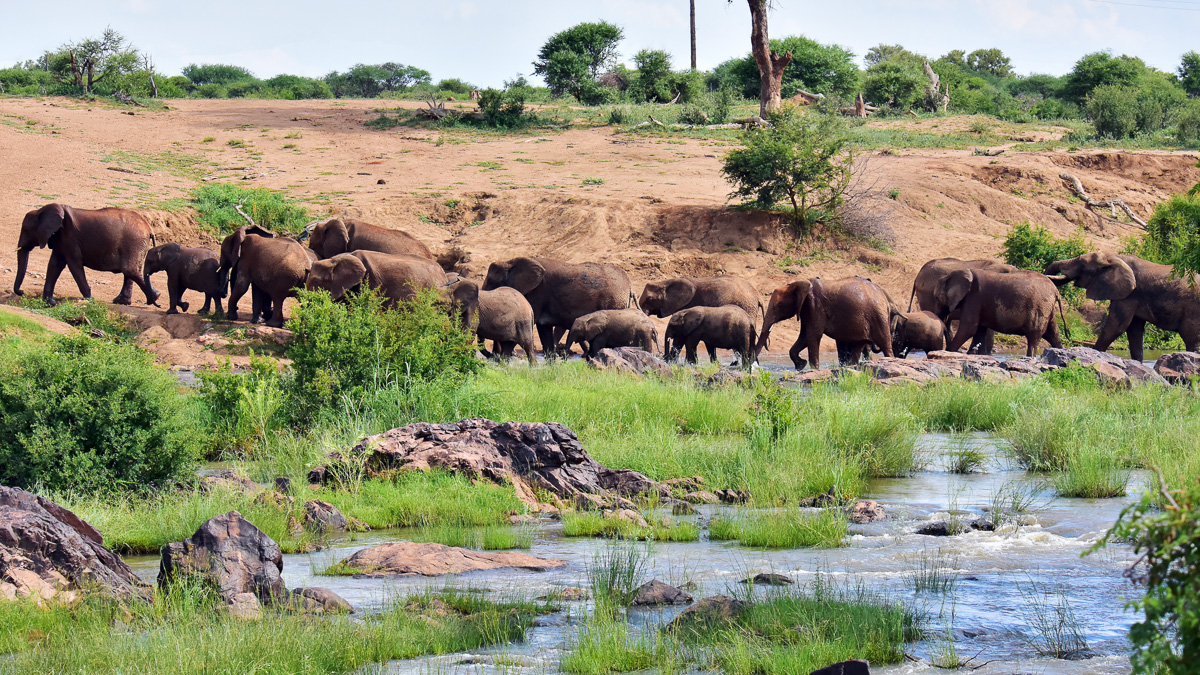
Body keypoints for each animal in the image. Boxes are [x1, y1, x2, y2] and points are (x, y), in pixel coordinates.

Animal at [15, 203, 159, 307]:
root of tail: (149, 228)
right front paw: (49, 302)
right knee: (129, 271)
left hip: (134, 242)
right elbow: (55, 265)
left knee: (130, 270)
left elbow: (74, 265)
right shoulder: (60, 239)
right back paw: (125, 301)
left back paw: (154, 297)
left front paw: (89, 300)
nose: (21, 292)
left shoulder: (70, 238)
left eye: (26, 230)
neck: (42, 210)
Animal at [482, 257, 632, 355]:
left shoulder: (536, 294)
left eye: (491, 281)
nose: (491, 354)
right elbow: (544, 330)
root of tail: (629, 284)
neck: (510, 262)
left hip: (613, 302)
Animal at [756, 276, 903, 370]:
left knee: (885, 345)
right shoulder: (806, 309)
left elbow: (812, 336)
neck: (797, 283)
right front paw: (801, 366)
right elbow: (804, 336)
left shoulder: (815, 306)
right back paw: (852, 366)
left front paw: (813, 369)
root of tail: (883, 295)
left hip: (879, 317)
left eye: (779, 306)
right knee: (859, 344)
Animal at [1045, 252, 1200, 361]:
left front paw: (1096, 354)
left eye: (1082, 264)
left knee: (1191, 337)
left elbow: (1116, 327)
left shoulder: (1129, 295)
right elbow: (1134, 330)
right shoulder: (1134, 297)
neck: (1115, 257)